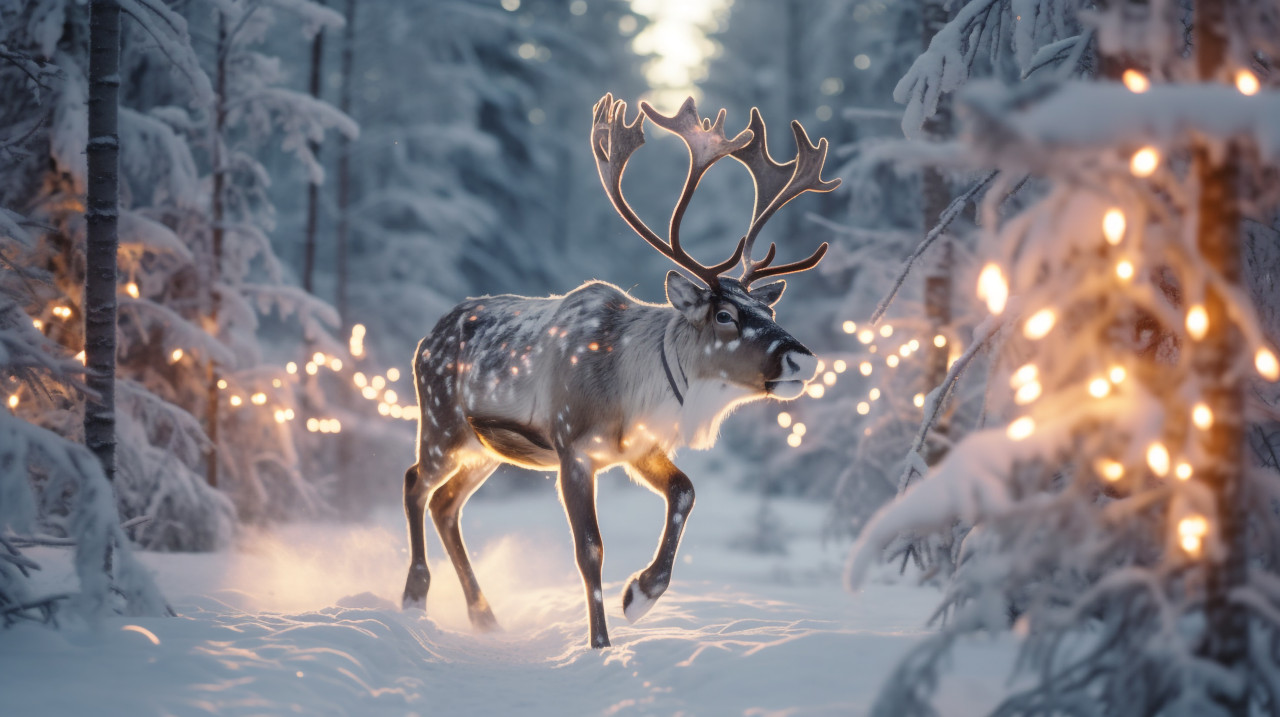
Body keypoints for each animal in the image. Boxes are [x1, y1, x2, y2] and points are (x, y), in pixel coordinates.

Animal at [401, 93, 840, 648]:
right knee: (415, 483)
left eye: (769, 310)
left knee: (446, 504)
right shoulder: (571, 447)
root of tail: (425, 339)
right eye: (724, 314)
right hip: (442, 425)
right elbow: (589, 548)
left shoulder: (639, 448)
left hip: (485, 450)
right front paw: (601, 643)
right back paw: (414, 596)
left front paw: (641, 595)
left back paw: (485, 617)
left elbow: (685, 491)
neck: (631, 389)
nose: (803, 357)